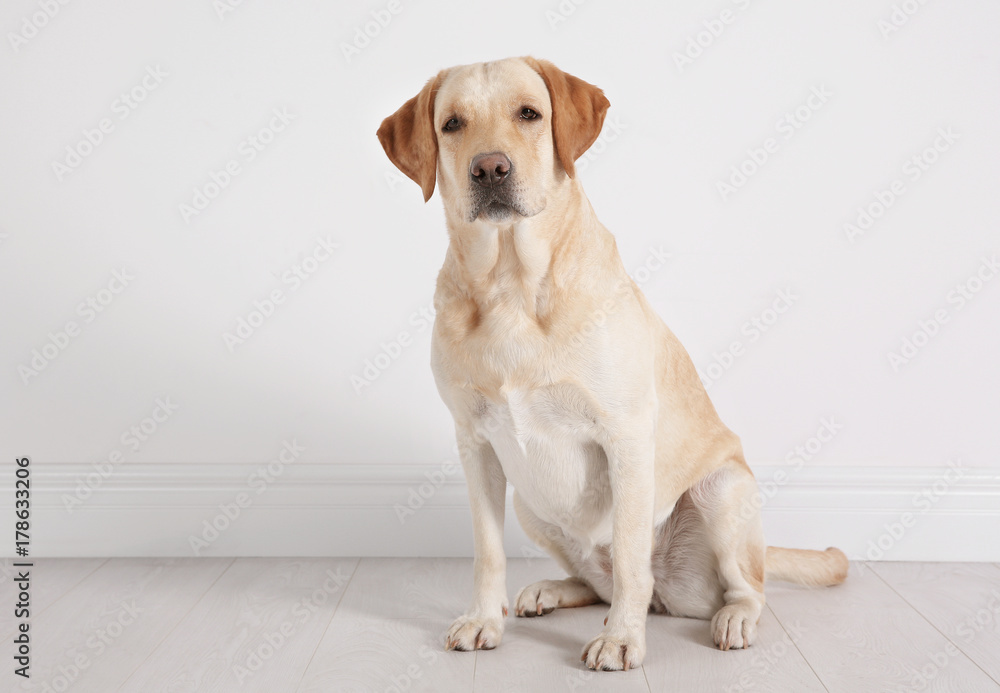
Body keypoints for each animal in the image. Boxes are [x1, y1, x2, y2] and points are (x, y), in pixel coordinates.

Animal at [378, 56, 848, 672]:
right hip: (530, 503)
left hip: (722, 491)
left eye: (529, 114)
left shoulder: (623, 435)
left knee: (743, 586)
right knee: (593, 581)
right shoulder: (475, 445)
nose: (490, 168)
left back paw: (731, 617)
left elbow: (628, 558)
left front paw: (622, 639)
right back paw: (550, 590)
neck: (511, 285)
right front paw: (484, 619)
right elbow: (487, 552)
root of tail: (674, 597)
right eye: (452, 123)